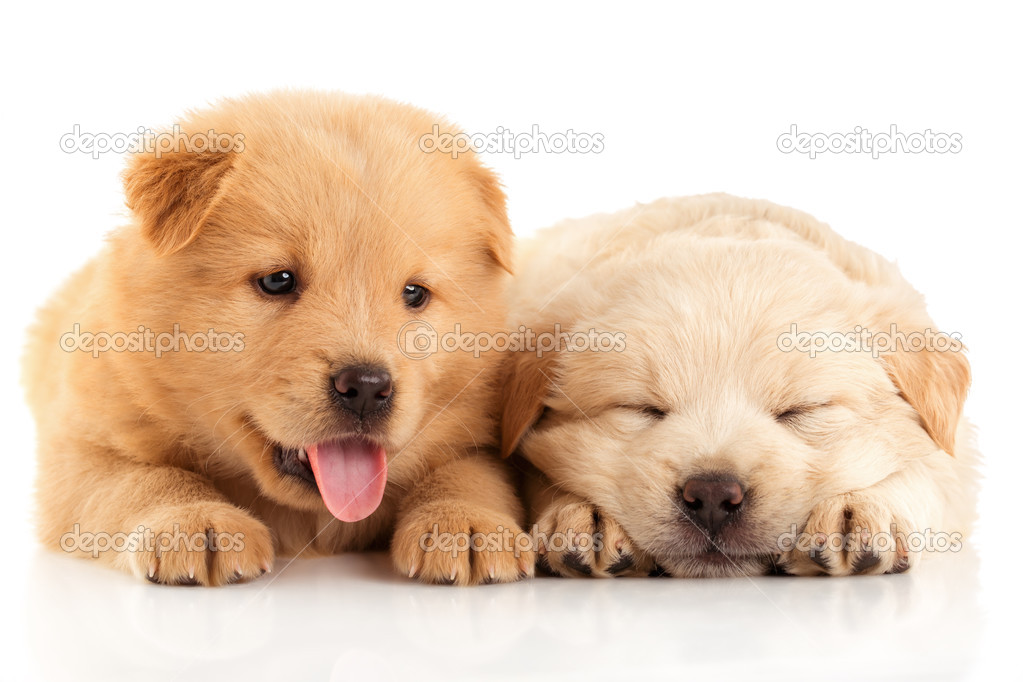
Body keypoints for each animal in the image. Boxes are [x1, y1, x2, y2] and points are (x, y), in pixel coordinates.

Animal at [25, 90, 536, 588]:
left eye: (415, 293)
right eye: (277, 280)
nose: (366, 387)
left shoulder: (476, 431)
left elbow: (470, 473)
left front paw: (466, 524)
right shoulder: (77, 448)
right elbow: (141, 479)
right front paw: (198, 521)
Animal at [503, 194, 973, 580]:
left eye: (802, 410)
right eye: (641, 409)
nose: (712, 495)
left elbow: (927, 472)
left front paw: (857, 511)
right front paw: (582, 515)